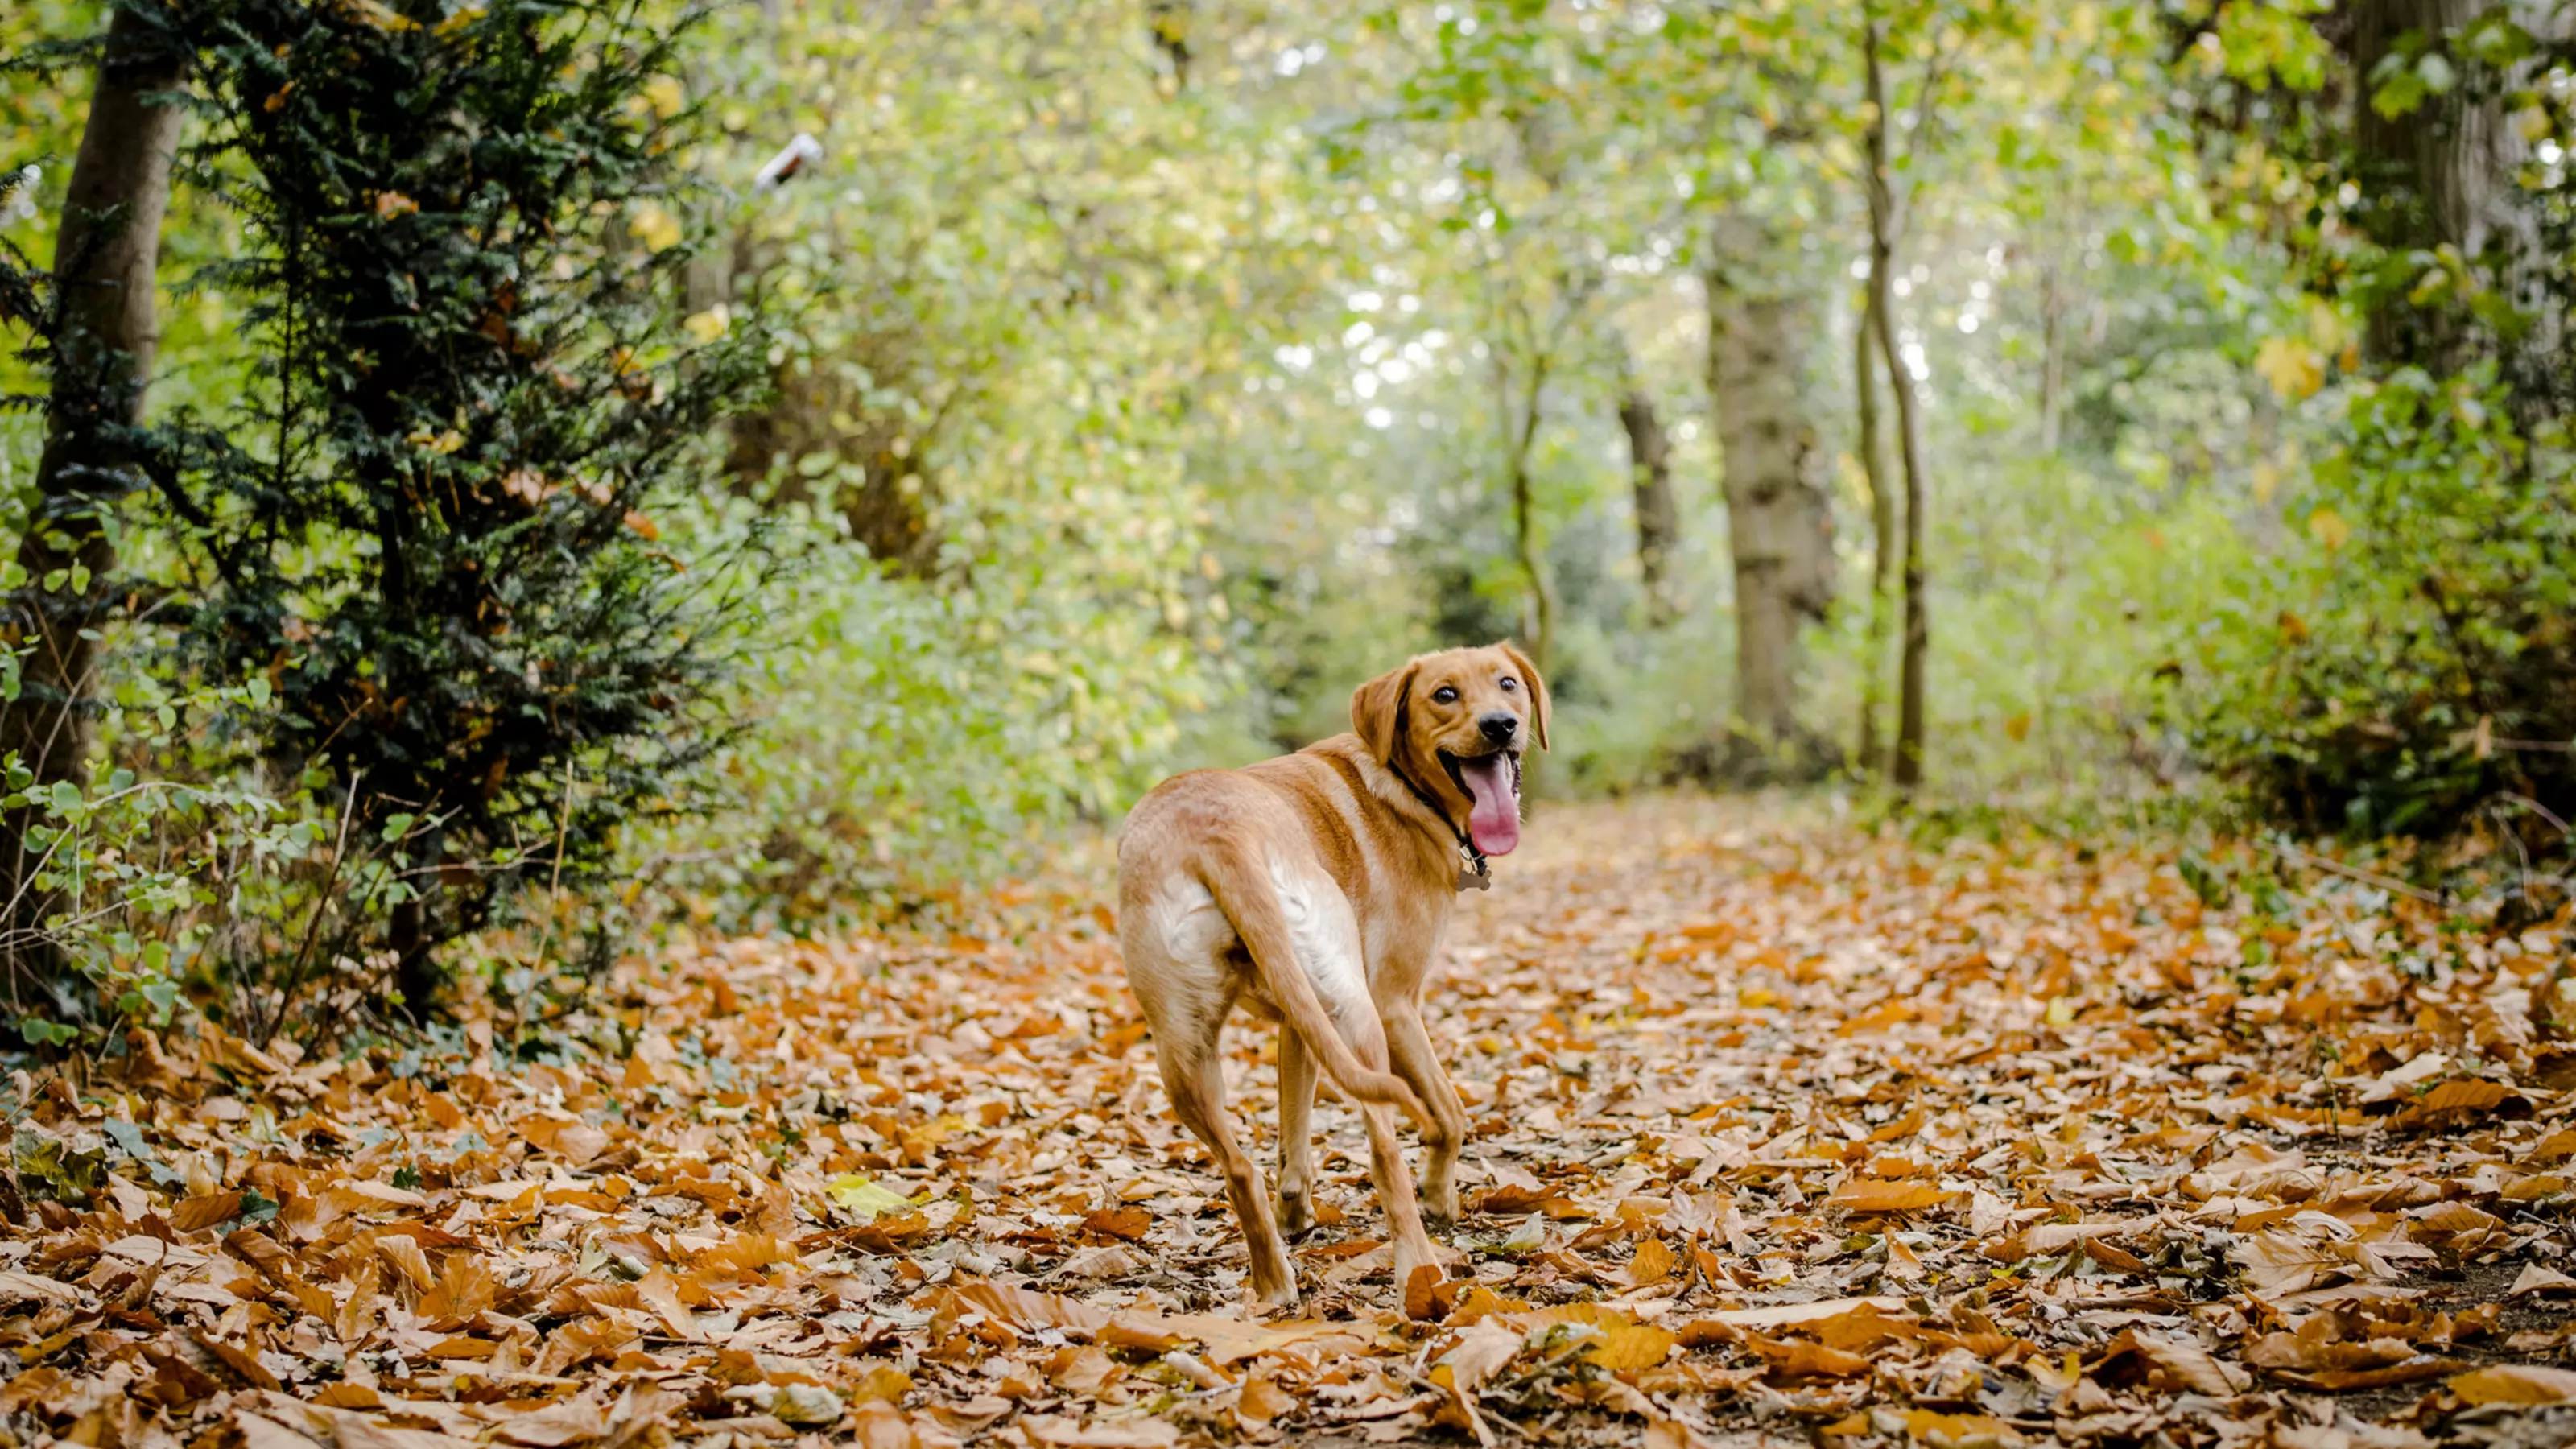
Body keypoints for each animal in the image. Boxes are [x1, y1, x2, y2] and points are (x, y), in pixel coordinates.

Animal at [1113, 637, 1546, 1304]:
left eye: (1507, 684)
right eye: (1444, 694)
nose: (1500, 725)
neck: (1400, 784)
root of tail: (1218, 836)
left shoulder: (1299, 1028)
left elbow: (1293, 1137)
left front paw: (1296, 1213)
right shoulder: (1395, 1004)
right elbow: (1449, 1114)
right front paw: (1439, 1196)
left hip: (1184, 1049)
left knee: (1239, 1167)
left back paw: (1273, 1280)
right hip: (1356, 1016)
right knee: (1384, 1149)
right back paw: (1420, 1271)